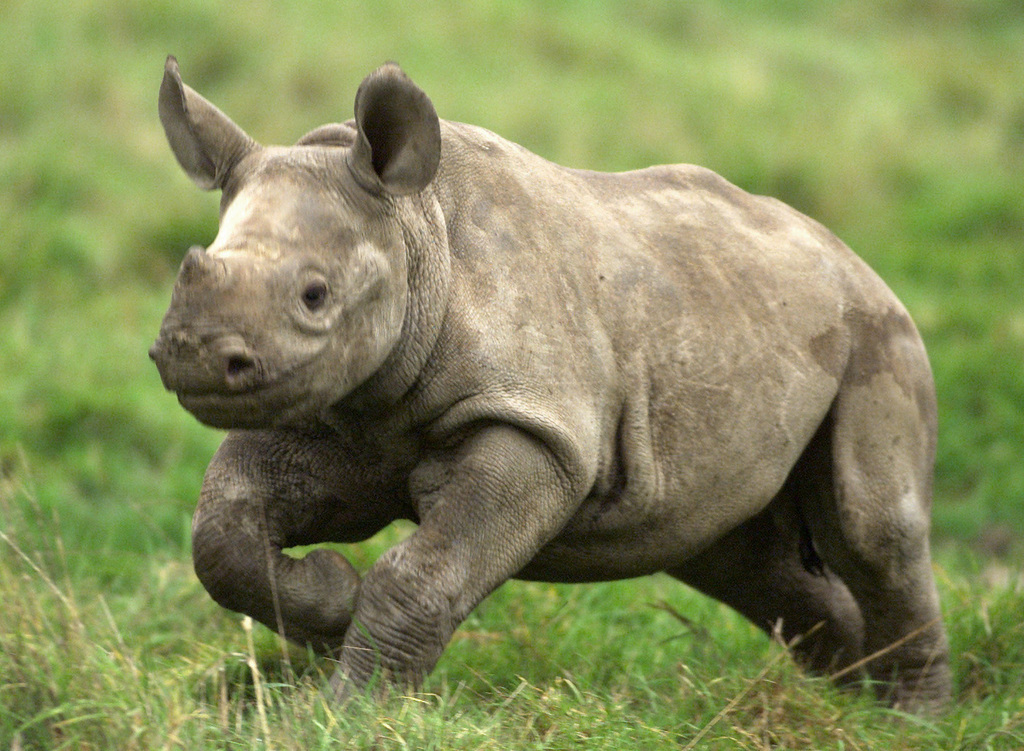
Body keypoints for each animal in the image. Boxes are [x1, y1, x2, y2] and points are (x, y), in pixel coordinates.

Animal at [150, 56, 951, 713]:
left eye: (315, 296)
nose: (192, 357)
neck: (415, 230)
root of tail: (851, 258)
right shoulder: (332, 406)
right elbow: (221, 532)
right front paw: (331, 598)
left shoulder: (540, 430)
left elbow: (422, 573)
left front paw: (347, 714)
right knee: (740, 559)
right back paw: (848, 697)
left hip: (878, 336)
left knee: (871, 530)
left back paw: (908, 718)